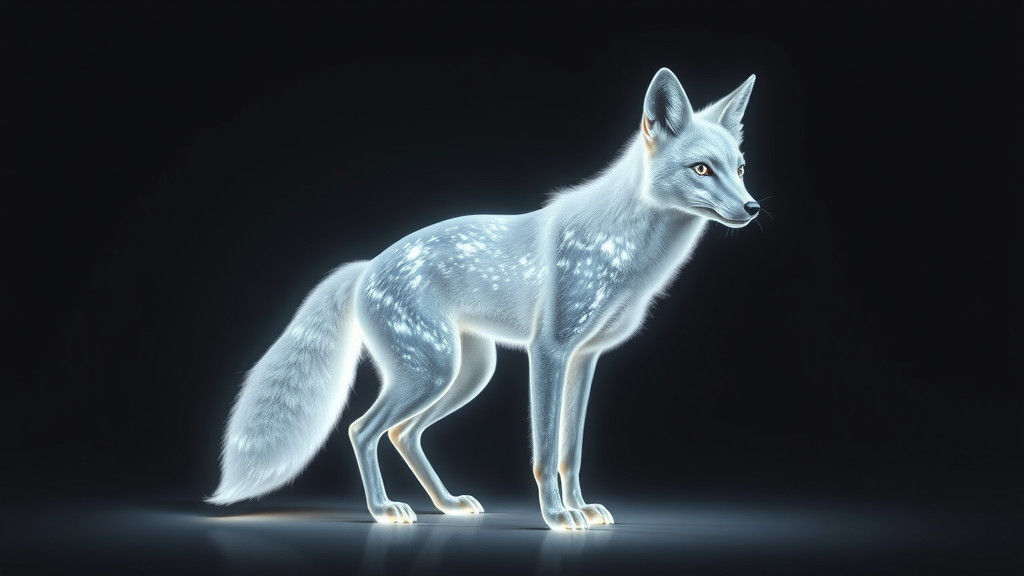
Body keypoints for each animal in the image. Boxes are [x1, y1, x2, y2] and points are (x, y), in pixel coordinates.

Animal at [208, 68, 760, 530]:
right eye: (701, 169)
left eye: (739, 167)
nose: (753, 208)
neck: (627, 255)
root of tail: (365, 267)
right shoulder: (549, 352)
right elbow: (544, 452)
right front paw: (556, 517)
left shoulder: (586, 359)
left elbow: (571, 452)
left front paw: (581, 508)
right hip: (431, 372)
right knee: (362, 430)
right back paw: (384, 510)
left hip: (468, 373)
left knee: (403, 434)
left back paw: (448, 505)